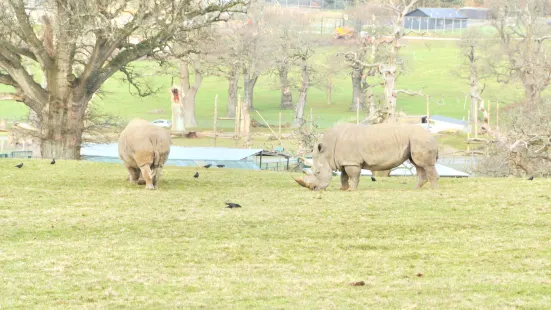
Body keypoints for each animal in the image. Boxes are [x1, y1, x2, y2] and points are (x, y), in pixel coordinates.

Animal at [296, 122, 442, 190]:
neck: (327, 150)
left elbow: (353, 175)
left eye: (317, 172)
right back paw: (415, 189)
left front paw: (351, 190)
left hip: (420, 139)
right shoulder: (345, 160)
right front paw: (343, 189)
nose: (314, 189)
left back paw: (434, 190)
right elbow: (344, 176)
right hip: (416, 139)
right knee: (418, 165)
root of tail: (432, 136)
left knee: (425, 165)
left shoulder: (352, 161)